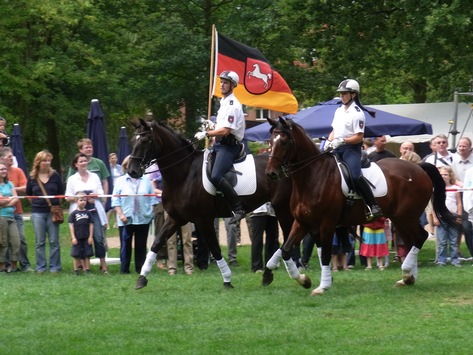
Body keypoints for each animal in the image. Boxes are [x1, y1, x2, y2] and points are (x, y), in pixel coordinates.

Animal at [125, 119, 302, 292]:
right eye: (133, 140)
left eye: (145, 141)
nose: (132, 172)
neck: (185, 174)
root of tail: (289, 166)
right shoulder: (176, 218)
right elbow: (156, 243)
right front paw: (141, 278)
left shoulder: (203, 220)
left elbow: (215, 248)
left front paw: (227, 280)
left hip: (282, 208)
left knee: (289, 238)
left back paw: (288, 272)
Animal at [264, 118, 456, 296]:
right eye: (270, 142)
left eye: (283, 142)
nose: (270, 174)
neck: (313, 176)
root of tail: (419, 167)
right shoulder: (303, 223)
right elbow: (286, 250)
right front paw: (302, 280)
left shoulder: (326, 224)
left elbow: (324, 254)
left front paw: (322, 286)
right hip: (400, 219)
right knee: (412, 241)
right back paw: (408, 278)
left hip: (405, 217)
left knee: (420, 237)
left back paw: (407, 274)